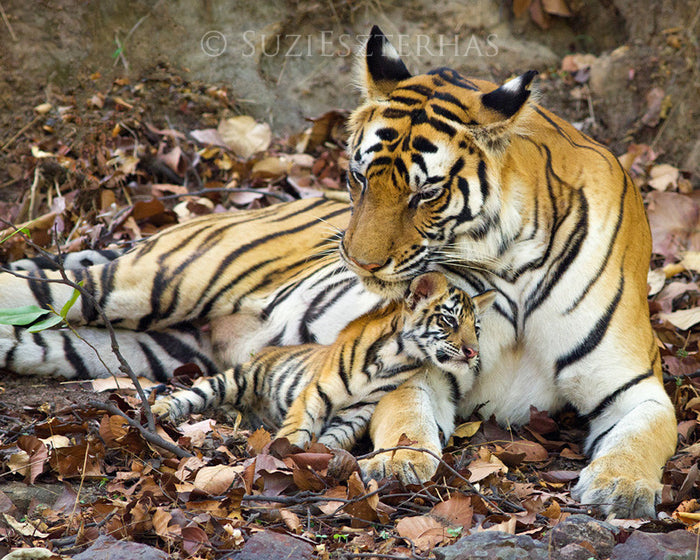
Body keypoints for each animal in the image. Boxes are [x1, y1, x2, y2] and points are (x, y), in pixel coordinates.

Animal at [151, 272, 494, 449]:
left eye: (476, 329)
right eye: (449, 321)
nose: (473, 352)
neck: (398, 358)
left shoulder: (359, 412)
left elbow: (335, 439)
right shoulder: (315, 393)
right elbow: (296, 432)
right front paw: (282, 459)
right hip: (238, 378)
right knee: (195, 393)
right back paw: (159, 410)